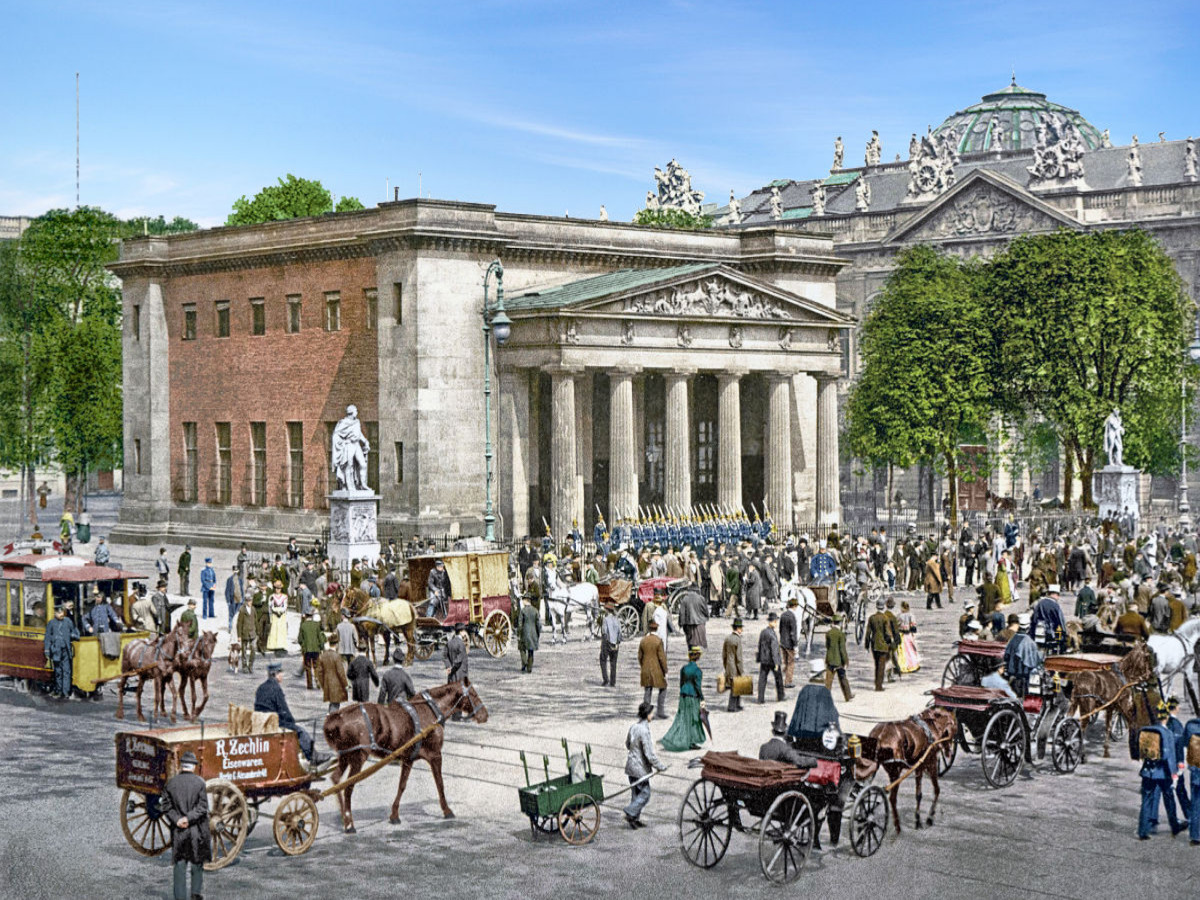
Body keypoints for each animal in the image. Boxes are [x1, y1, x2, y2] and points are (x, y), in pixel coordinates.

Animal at [324, 681, 487, 835]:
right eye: (473, 694)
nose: (485, 714)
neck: (429, 711)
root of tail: (337, 718)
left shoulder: (408, 759)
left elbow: (402, 786)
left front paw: (394, 815)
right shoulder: (435, 755)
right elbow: (440, 784)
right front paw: (447, 810)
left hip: (346, 756)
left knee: (336, 779)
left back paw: (344, 817)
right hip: (358, 757)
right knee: (348, 788)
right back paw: (349, 824)